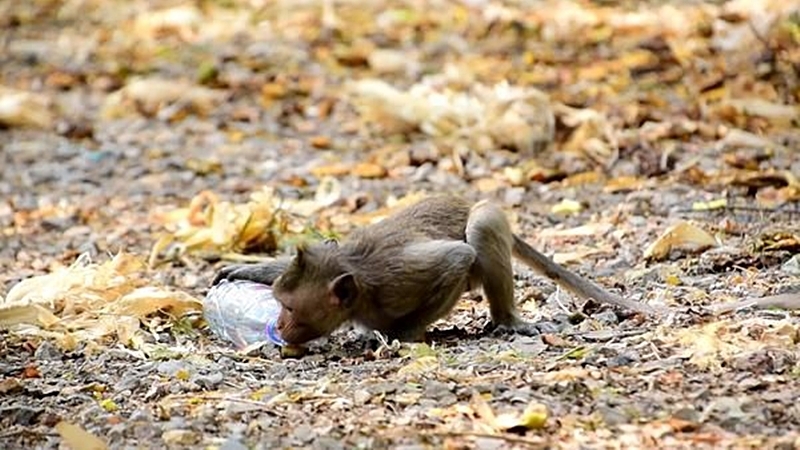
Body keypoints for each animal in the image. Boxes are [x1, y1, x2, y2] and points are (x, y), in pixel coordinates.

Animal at [213, 195, 658, 345]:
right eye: (279, 302)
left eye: (290, 309)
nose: (280, 325)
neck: (361, 286)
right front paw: (244, 272)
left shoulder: (393, 280)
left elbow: (457, 257)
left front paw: (401, 334)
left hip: (484, 219)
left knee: (481, 228)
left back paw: (506, 320)